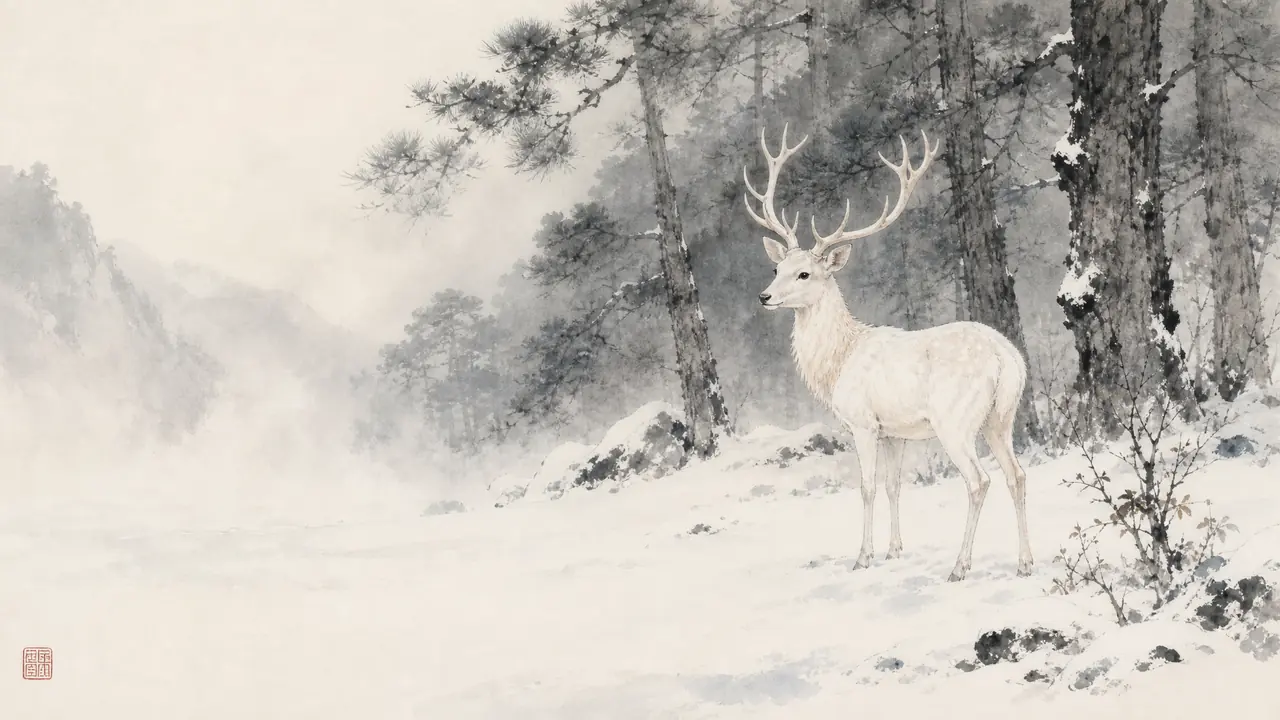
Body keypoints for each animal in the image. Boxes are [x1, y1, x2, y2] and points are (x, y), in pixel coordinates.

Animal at [743, 124, 1032, 582]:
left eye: (804, 273)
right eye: (777, 268)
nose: (765, 296)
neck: (837, 362)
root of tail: (1009, 359)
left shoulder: (862, 422)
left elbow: (866, 487)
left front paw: (863, 556)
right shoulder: (895, 431)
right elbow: (895, 485)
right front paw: (895, 550)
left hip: (956, 421)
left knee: (979, 480)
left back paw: (960, 566)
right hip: (1000, 418)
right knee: (1017, 475)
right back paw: (1025, 562)